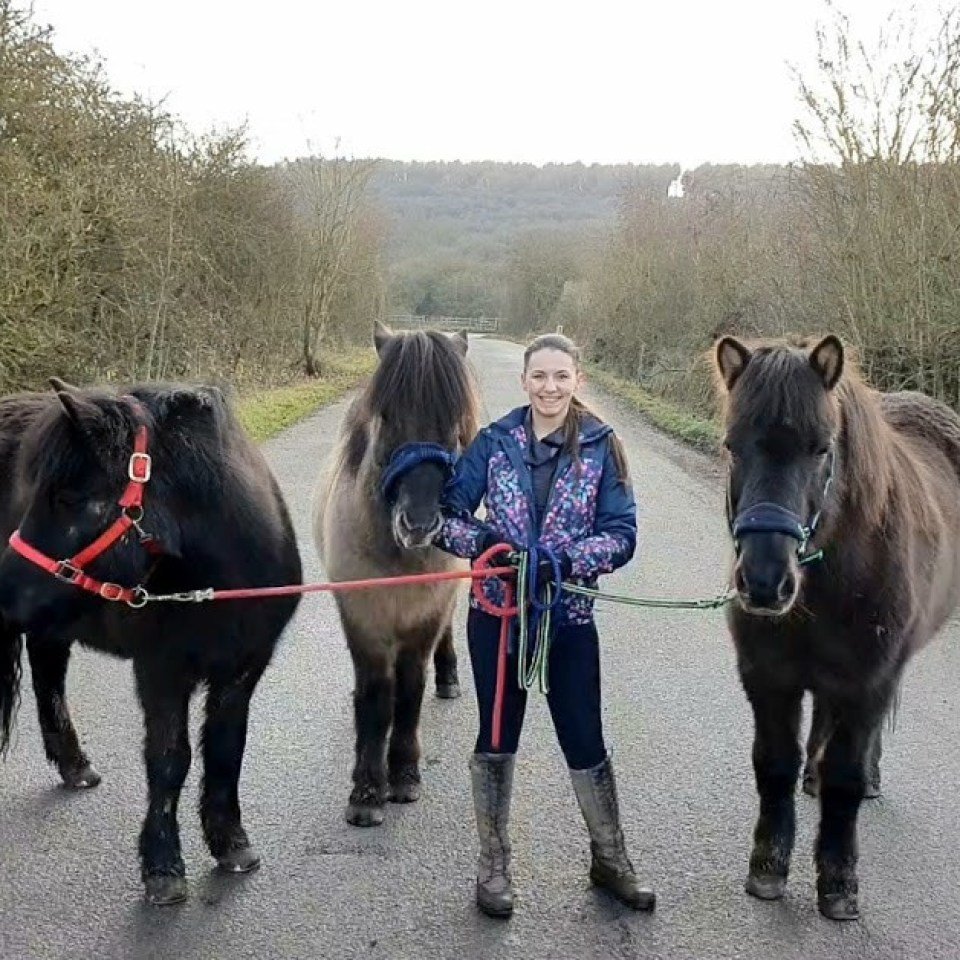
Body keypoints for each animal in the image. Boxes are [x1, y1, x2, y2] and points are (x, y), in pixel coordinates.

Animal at [0, 378, 302, 904]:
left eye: (67, 497)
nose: (2, 591)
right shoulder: (162, 670)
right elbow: (168, 759)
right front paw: (162, 866)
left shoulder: (243, 669)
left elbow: (225, 750)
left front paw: (231, 843)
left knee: (48, 669)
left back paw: (74, 765)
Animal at [316, 320, 480, 824]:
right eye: (385, 417)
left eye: (455, 423)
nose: (419, 524)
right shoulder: (362, 613)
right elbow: (375, 693)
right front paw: (367, 790)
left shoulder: (425, 612)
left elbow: (409, 687)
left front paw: (404, 774)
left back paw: (448, 678)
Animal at [716, 336, 960, 924]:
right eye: (733, 445)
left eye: (821, 449)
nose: (764, 581)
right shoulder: (769, 679)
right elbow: (774, 765)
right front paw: (768, 867)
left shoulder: (868, 683)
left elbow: (845, 781)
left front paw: (839, 880)